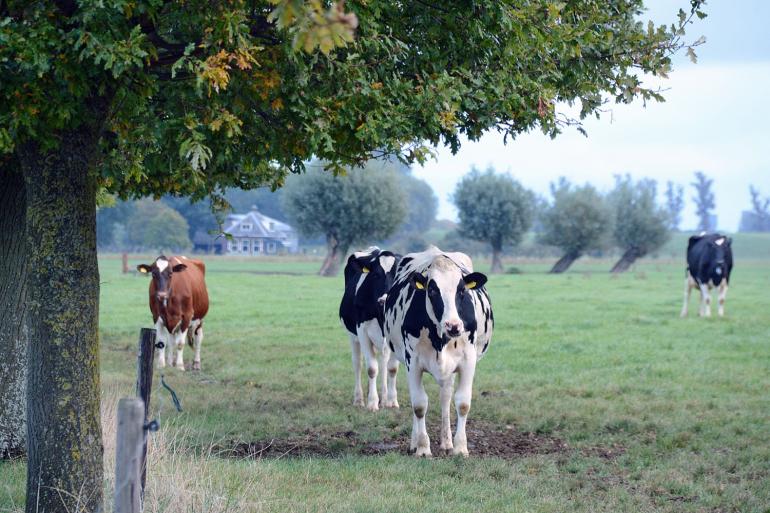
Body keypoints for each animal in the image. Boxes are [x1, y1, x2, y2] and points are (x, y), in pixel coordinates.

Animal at [342, 246, 402, 410]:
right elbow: (371, 368)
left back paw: (384, 397)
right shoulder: (362, 332)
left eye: (398, 275)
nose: (384, 300)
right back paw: (359, 399)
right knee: (358, 363)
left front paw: (391, 401)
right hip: (353, 337)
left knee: (383, 362)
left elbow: (392, 368)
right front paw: (372, 403)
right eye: (375, 274)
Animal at [382, 246, 492, 454]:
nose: (453, 325)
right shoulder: (413, 362)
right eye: (432, 289)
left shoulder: (468, 361)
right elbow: (419, 405)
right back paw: (414, 443)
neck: (441, 338)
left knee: (446, 397)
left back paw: (447, 442)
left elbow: (463, 403)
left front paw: (460, 448)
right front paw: (423, 448)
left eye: (462, 290)